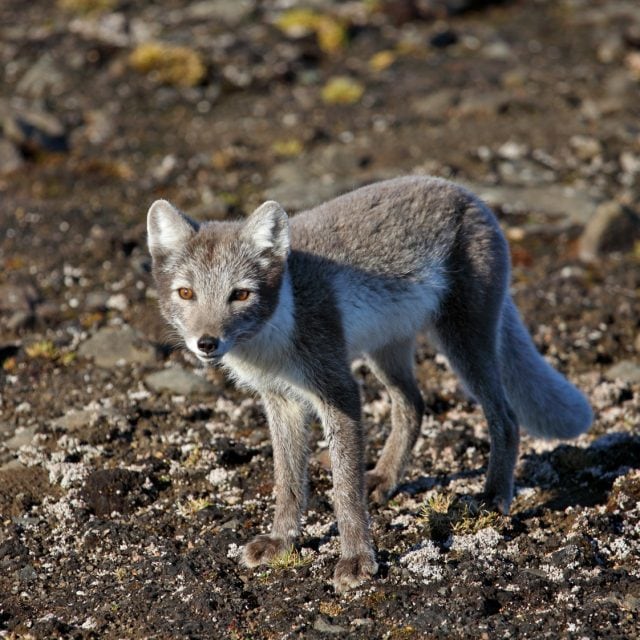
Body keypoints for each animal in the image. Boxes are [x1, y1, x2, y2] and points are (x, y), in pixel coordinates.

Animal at [146, 175, 593, 592]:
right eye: (185, 293)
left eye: (240, 295)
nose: (207, 343)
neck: (274, 334)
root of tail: (466, 193)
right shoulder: (281, 400)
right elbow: (287, 482)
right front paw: (282, 541)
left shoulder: (339, 391)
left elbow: (344, 489)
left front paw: (357, 559)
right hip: (388, 350)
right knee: (414, 405)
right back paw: (384, 477)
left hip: (465, 341)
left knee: (505, 416)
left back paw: (493, 495)